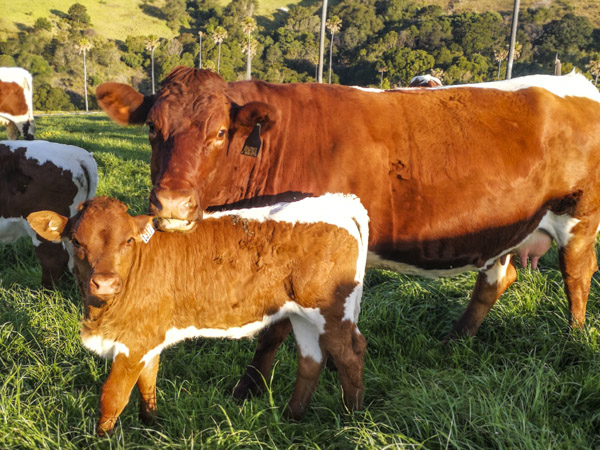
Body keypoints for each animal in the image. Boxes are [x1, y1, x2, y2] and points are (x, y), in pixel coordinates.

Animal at [28, 193, 370, 436]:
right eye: (76, 241)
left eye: (128, 240)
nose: (105, 282)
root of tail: (339, 201)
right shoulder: (148, 336)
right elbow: (148, 382)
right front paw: (152, 425)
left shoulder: (133, 341)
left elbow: (112, 397)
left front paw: (101, 439)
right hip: (302, 315)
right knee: (311, 360)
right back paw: (292, 417)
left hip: (332, 310)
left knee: (350, 353)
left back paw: (351, 418)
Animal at [97, 67, 600, 390]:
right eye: (152, 128)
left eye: (220, 132)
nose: (172, 203)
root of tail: (575, 81)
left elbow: (273, 331)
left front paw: (249, 391)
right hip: (506, 229)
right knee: (498, 278)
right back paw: (455, 340)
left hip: (581, 213)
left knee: (576, 274)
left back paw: (574, 341)